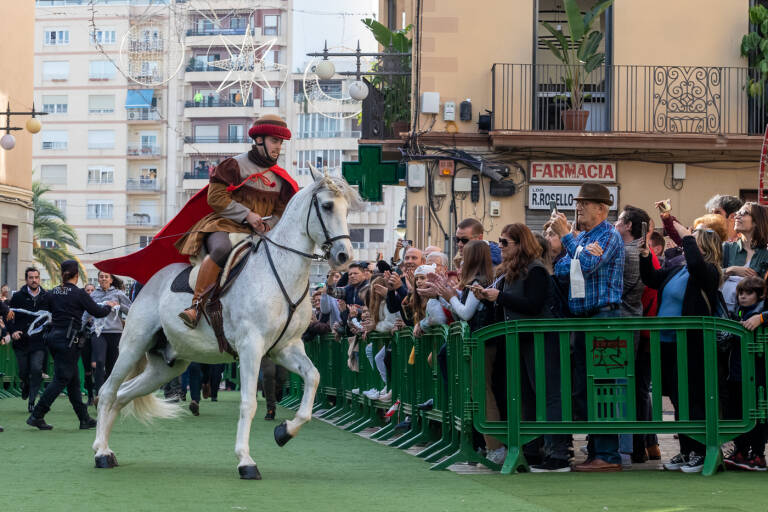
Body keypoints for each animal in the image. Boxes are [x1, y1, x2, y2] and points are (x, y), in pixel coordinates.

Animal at [91, 172, 358, 480]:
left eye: (347, 210)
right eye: (327, 206)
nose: (344, 256)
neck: (279, 272)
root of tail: (145, 285)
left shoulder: (285, 349)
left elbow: (313, 378)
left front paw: (284, 431)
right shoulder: (251, 348)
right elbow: (248, 402)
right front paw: (246, 460)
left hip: (166, 367)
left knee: (122, 395)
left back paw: (106, 450)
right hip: (132, 348)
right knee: (107, 392)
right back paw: (100, 453)